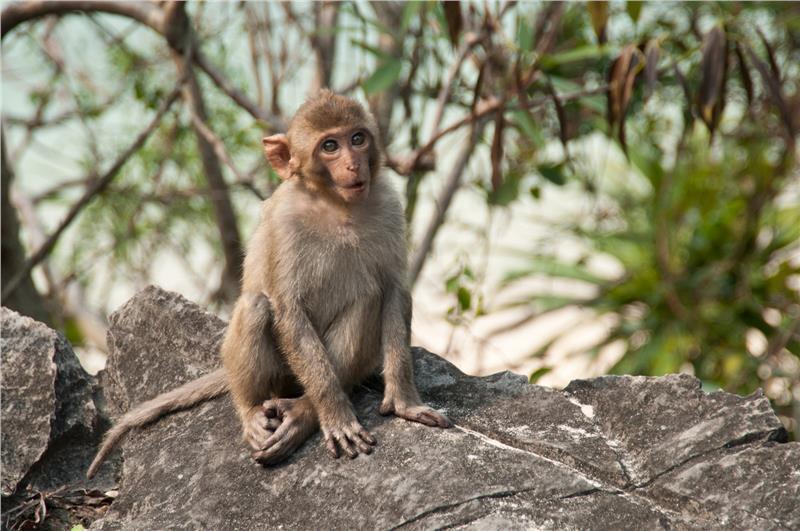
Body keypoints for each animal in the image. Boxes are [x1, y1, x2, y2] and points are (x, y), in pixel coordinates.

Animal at [89, 89, 450, 480]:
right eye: (330, 146)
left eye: (357, 138)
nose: (355, 165)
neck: (336, 205)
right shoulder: (285, 219)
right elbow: (287, 308)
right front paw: (334, 414)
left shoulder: (388, 205)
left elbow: (395, 291)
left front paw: (403, 403)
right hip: (277, 373)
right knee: (257, 306)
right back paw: (255, 411)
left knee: (367, 298)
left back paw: (301, 412)